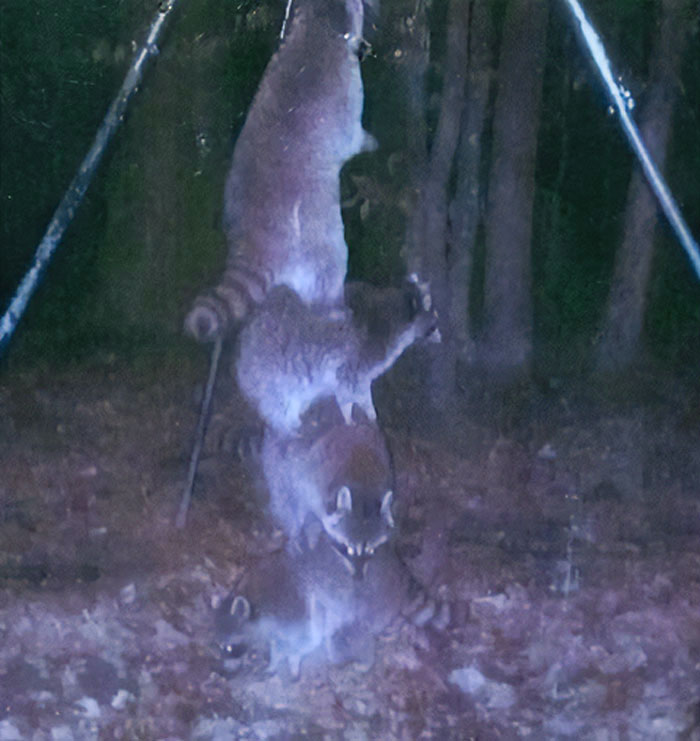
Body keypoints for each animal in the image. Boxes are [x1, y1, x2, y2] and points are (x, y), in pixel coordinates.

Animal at [185, 0, 375, 342]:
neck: (317, 29)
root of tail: (252, 241)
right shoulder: (347, 94)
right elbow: (351, 138)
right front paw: (368, 141)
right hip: (316, 243)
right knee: (329, 269)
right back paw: (334, 308)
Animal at [236, 278, 439, 435]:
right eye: (433, 324)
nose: (439, 336)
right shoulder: (355, 364)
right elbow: (349, 392)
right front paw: (359, 414)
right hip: (269, 364)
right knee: (277, 395)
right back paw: (284, 425)